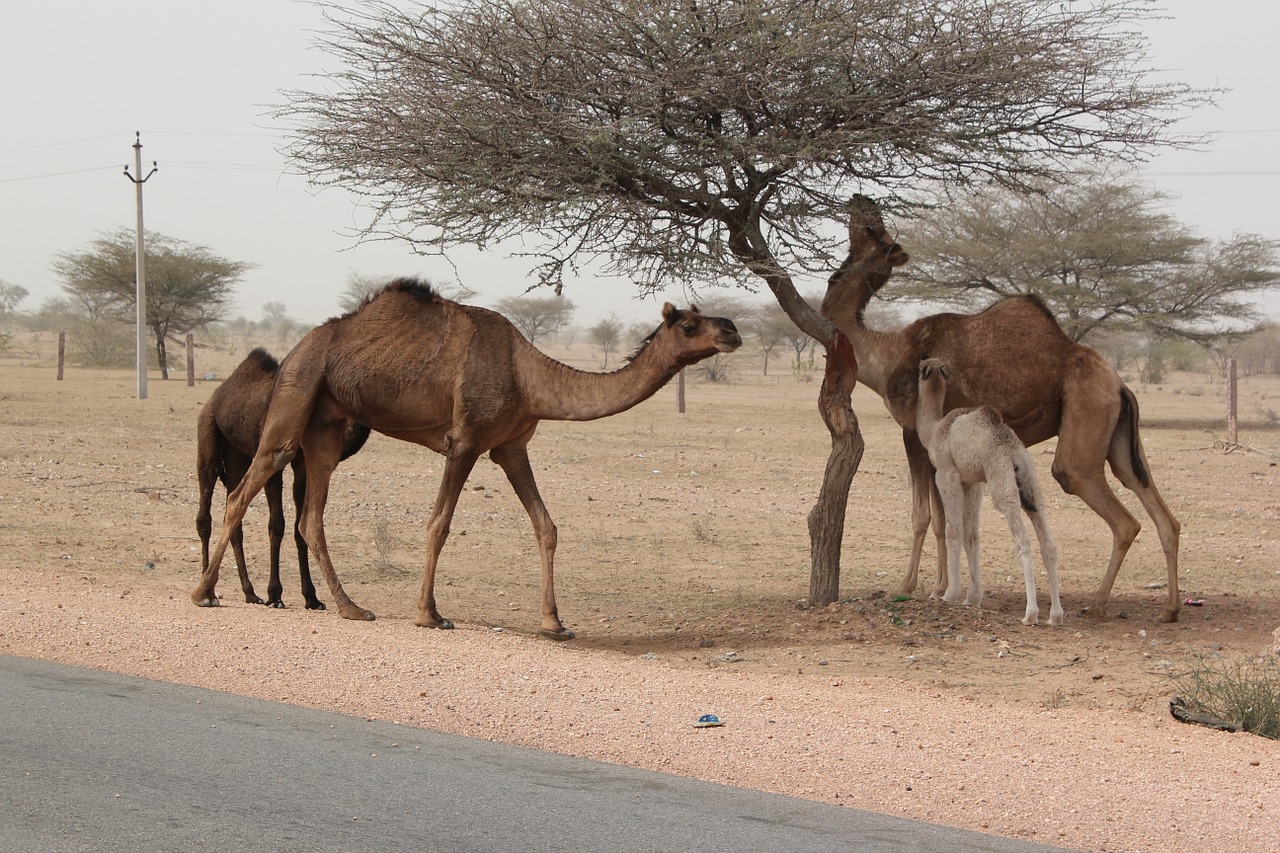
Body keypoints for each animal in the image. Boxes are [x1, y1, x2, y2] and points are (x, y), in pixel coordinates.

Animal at [193, 348, 371, 607]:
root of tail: (217, 396)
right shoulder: (275, 460)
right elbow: (276, 524)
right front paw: (275, 594)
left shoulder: (302, 464)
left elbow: (299, 528)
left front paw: (311, 597)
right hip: (208, 434)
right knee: (205, 513)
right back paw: (209, 593)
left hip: (237, 453)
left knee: (234, 514)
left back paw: (250, 593)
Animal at [916, 356, 1064, 625]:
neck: (934, 429)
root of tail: (1015, 454)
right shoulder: (972, 481)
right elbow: (972, 535)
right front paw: (972, 598)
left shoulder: (947, 472)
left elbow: (954, 530)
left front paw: (949, 594)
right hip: (1031, 484)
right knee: (1048, 542)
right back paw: (1055, 615)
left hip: (1002, 485)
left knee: (1023, 540)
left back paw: (1030, 613)